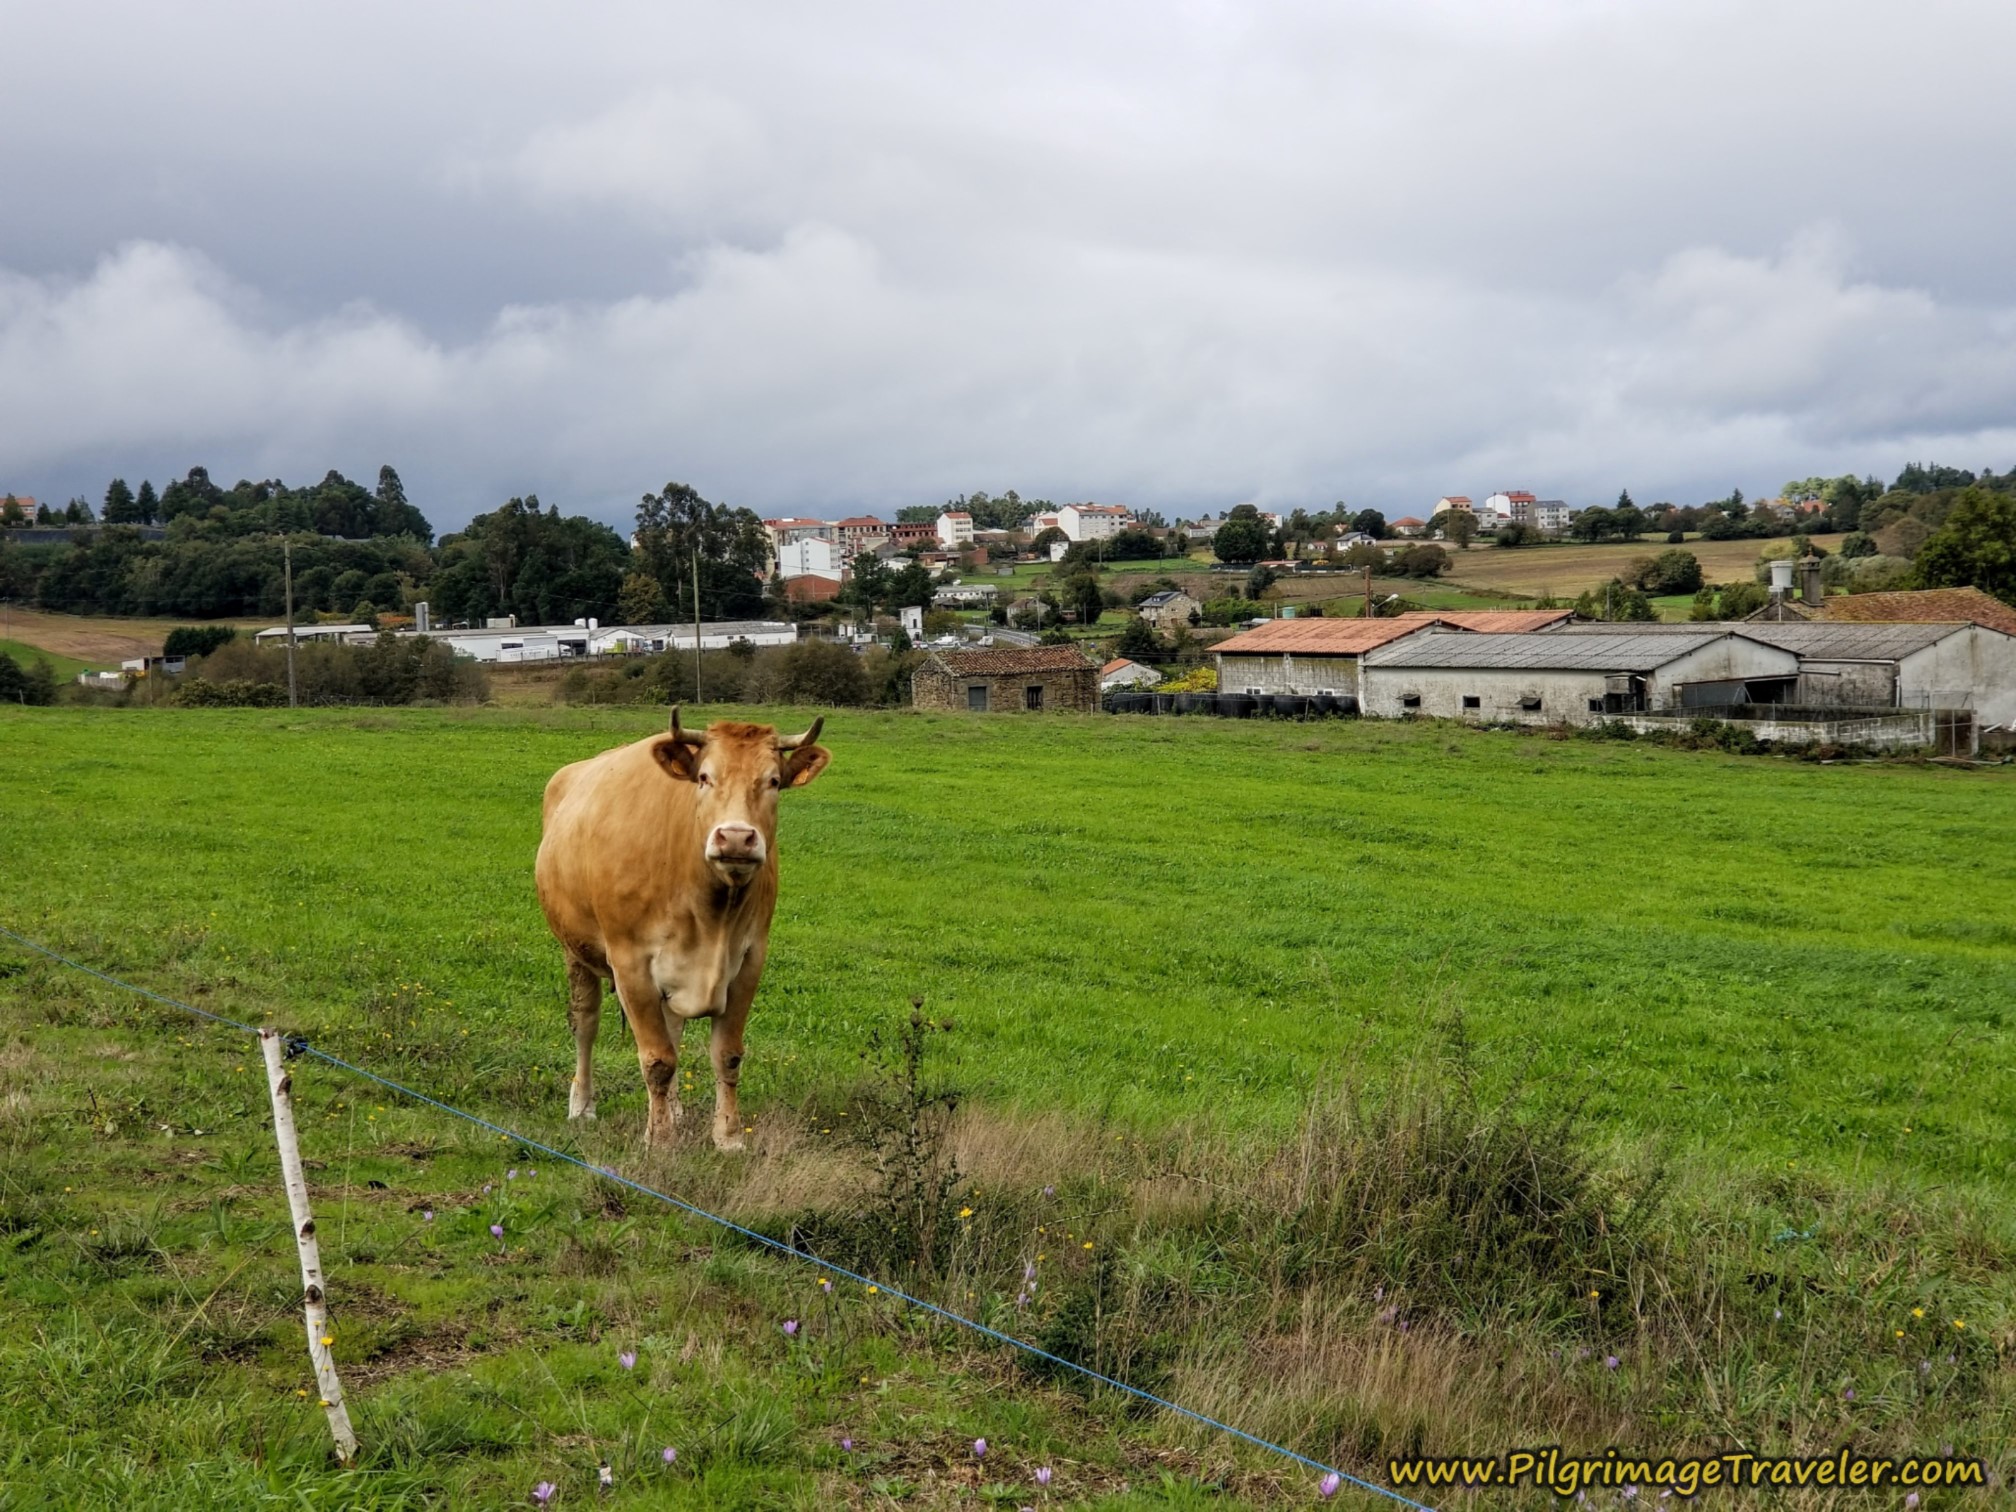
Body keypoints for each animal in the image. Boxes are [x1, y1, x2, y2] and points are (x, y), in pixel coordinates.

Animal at [534, 709, 831, 1151]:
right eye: (705, 777)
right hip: (575, 949)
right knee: (586, 1024)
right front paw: (659, 1140)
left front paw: (727, 1137)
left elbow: (725, 1054)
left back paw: (673, 1111)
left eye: (774, 780)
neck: (712, 913)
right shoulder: (631, 964)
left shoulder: (748, 960)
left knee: (672, 1030)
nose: (737, 838)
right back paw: (583, 1106)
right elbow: (657, 1059)